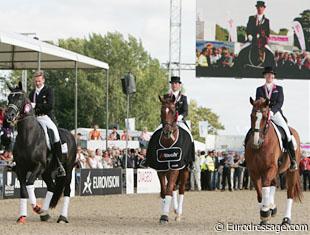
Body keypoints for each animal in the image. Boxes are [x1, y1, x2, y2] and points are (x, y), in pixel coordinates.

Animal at [5, 82, 76, 224]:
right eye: (9, 98)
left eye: (20, 98)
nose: (9, 116)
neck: (28, 136)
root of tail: (71, 135)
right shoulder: (20, 168)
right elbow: (23, 190)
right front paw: (22, 217)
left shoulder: (39, 166)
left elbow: (29, 184)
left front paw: (37, 208)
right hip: (47, 172)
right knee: (52, 187)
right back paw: (45, 213)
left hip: (68, 169)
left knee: (67, 190)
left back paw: (62, 217)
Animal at [145, 95, 194, 224]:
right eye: (162, 111)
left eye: (173, 110)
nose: (167, 132)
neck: (168, 143)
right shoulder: (161, 169)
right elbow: (164, 191)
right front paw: (164, 214)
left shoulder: (175, 167)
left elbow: (168, 190)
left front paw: (164, 216)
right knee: (173, 188)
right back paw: (175, 210)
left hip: (185, 170)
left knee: (181, 189)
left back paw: (179, 214)